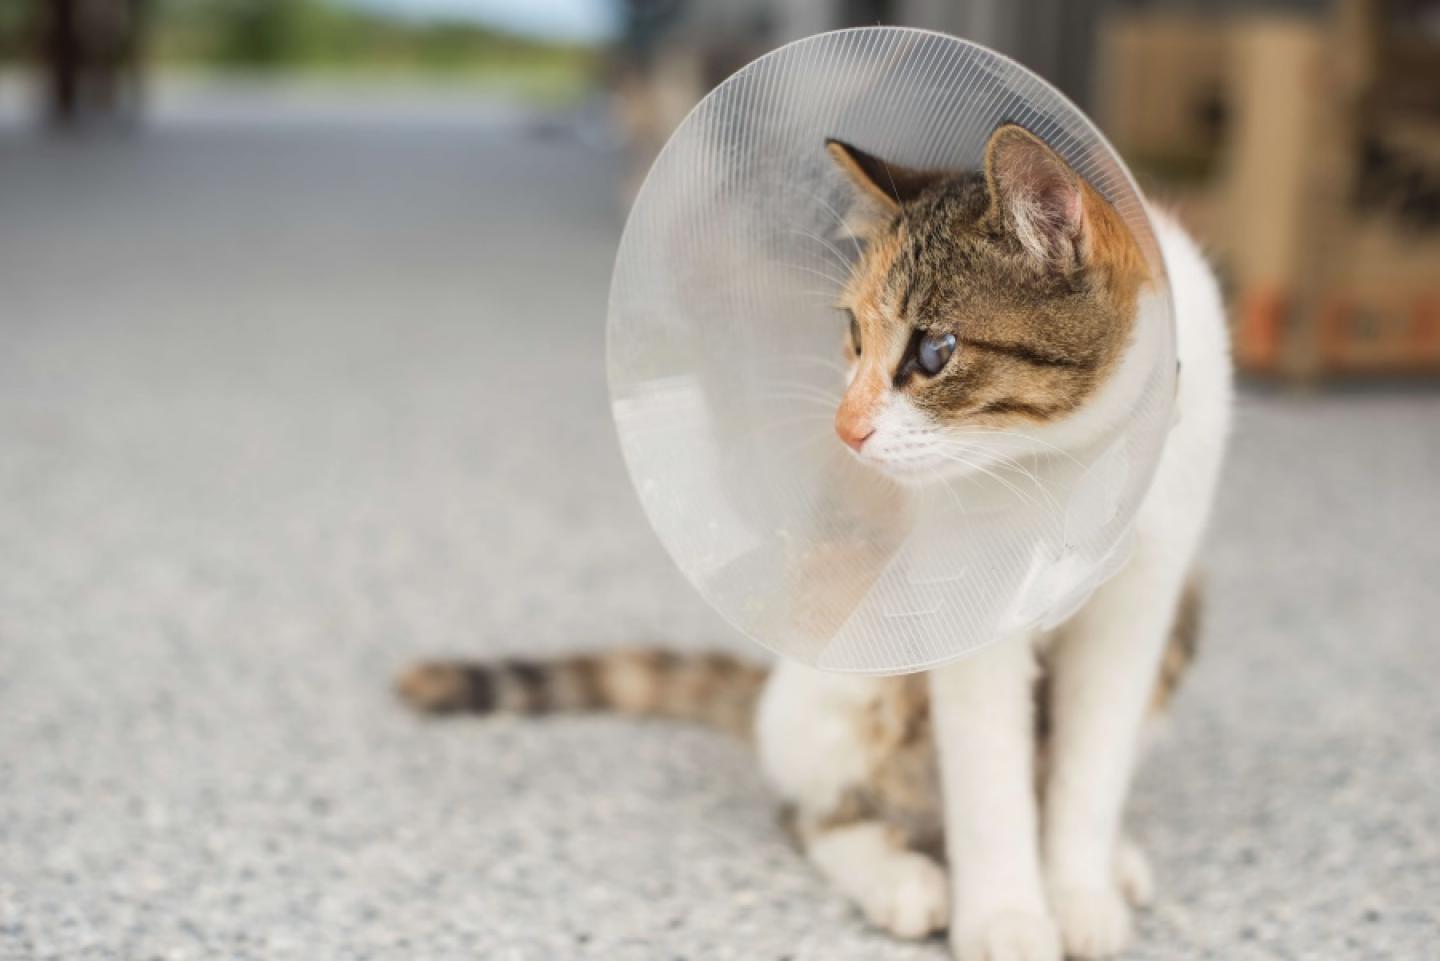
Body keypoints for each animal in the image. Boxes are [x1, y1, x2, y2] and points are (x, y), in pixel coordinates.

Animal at [400, 122, 1232, 961]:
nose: (846, 426)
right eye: (854, 332)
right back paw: (905, 880)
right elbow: (989, 778)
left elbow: (1090, 766)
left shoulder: (1142, 601)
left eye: (935, 351)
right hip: (856, 671)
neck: (1066, 467)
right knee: (817, 812)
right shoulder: (972, 610)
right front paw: (1006, 918)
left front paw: (1078, 894)